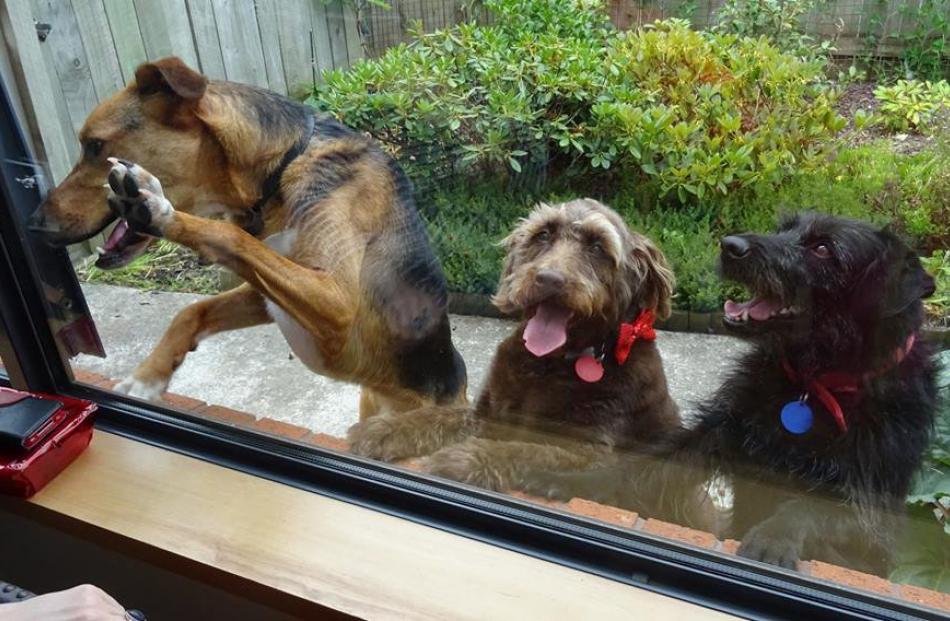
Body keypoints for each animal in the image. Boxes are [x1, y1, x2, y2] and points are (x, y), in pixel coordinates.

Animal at [31, 57, 470, 416]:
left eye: (95, 146)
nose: (35, 223)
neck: (281, 170)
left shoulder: (336, 302)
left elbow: (229, 236)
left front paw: (157, 209)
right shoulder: (268, 297)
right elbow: (192, 310)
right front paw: (148, 377)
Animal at [348, 199, 676, 494]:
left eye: (597, 247)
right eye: (543, 234)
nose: (548, 278)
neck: (551, 364)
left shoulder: (591, 452)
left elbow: (525, 449)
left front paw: (466, 459)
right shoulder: (488, 414)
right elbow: (438, 417)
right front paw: (384, 429)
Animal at [532, 214, 940, 576]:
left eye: (824, 248)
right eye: (784, 228)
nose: (730, 246)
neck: (810, 385)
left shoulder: (869, 504)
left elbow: (808, 508)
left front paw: (775, 536)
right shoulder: (715, 433)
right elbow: (636, 466)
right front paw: (574, 482)